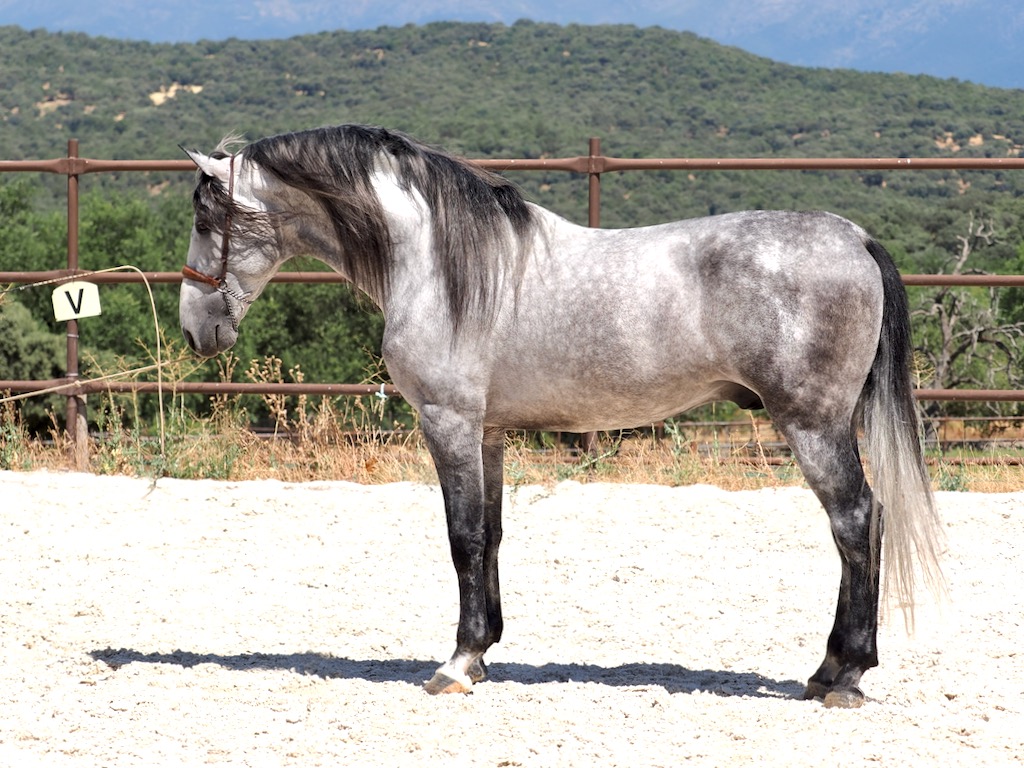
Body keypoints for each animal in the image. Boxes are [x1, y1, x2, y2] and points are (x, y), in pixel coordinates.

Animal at [178, 124, 944, 708]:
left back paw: (843, 674)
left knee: (856, 521)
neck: (439, 265)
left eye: (204, 219)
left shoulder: (448, 422)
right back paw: (829, 671)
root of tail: (854, 238)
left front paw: (455, 665)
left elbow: (462, 539)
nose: (195, 331)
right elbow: (490, 536)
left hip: (812, 426)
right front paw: (484, 651)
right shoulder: (486, 433)